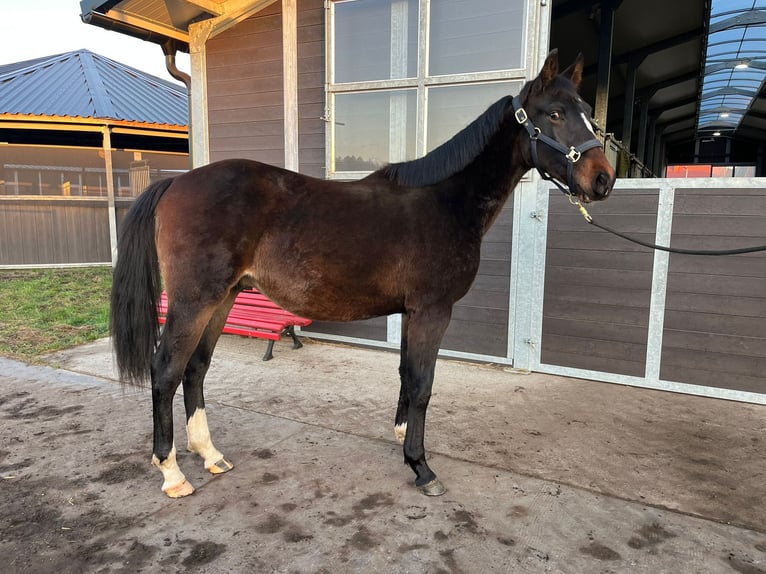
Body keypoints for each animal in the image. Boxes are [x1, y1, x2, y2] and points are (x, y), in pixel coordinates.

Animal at [110, 50, 615, 498]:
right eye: (554, 114)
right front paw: (421, 467)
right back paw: (172, 473)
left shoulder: (413, 312)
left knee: (196, 369)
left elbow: (407, 375)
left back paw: (210, 454)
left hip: (224, 298)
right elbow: (424, 384)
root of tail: (176, 181)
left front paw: (403, 440)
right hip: (195, 301)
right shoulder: (433, 311)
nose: (603, 180)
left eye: (589, 115)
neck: (444, 201)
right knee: (166, 371)